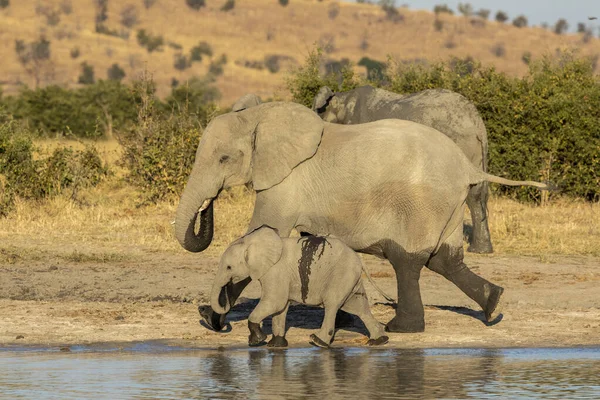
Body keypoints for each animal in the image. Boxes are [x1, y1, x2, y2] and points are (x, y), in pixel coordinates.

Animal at [173, 102, 548, 332]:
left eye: (224, 159)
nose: (208, 204)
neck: (258, 115)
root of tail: (468, 166)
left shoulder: (284, 184)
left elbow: (260, 233)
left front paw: (212, 319)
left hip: (422, 203)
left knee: (408, 260)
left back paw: (402, 328)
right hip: (450, 205)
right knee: (446, 260)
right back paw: (492, 304)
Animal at [211, 227, 390, 348]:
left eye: (229, 267)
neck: (251, 242)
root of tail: (359, 259)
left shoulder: (275, 271)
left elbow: (274, 302)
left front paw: (257, 341)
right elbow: (280, 309)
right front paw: (275, 345)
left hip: (341, 274)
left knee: (332, 305)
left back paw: (318, 341)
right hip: (350, 278)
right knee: (359, 307)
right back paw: (379, 341)